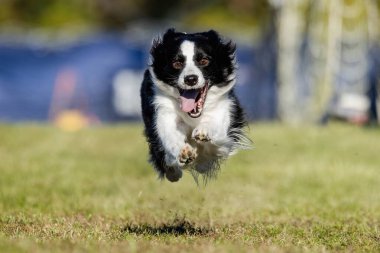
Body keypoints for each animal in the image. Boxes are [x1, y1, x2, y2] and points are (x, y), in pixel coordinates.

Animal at [140, 28, 249, 183]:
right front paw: (183, 152)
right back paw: (173, 171)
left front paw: (204, 132)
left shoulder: (225, 111)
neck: (193, 114)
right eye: (177, 63)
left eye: (204, 60)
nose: (190, 79)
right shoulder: (164, 112)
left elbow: (216, 132)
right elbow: (170, 135)